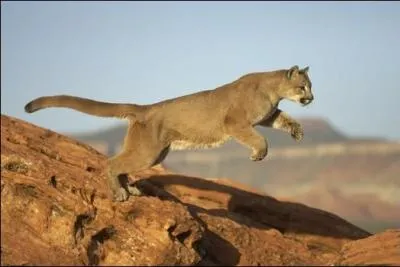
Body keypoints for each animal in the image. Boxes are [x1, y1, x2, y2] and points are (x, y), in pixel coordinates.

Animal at [25, 66, 316, 202]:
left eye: (310, 86)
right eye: (303, 87)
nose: (312, 99)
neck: (273, 90)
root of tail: (145, 108)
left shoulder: (268, 116)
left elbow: (284, 120)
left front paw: (297, 132)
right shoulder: (235, 123)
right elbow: (258, 138)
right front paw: (259, 153)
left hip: (153, 154)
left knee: (122, 165)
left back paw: (130, 189)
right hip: (148, 152)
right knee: (112, 163)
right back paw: (120, 193)